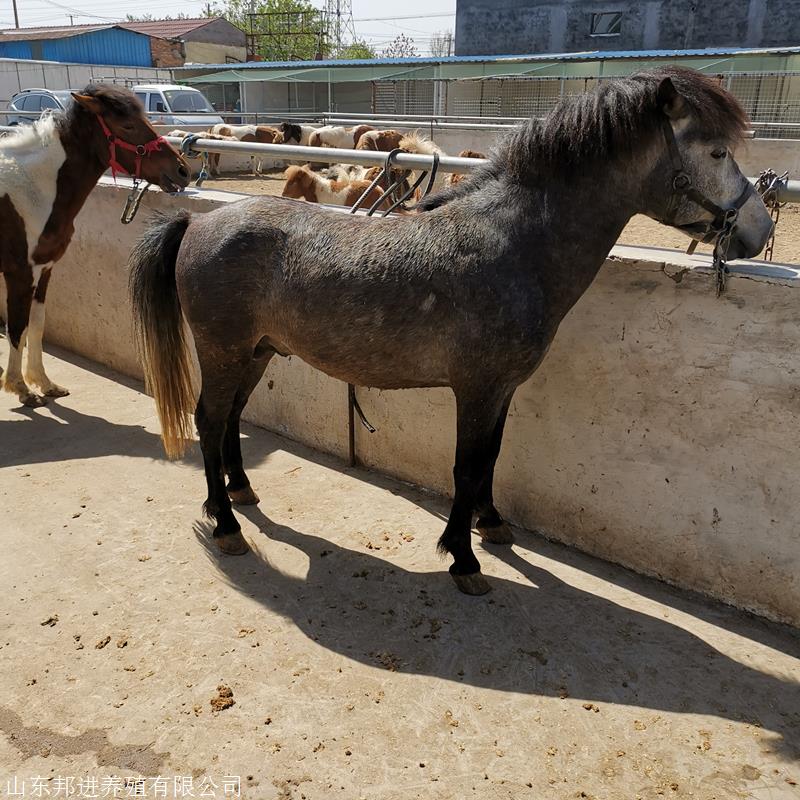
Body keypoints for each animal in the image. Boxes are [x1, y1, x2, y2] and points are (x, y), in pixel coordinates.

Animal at [0, 84, 190, 406]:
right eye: (127, 125)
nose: (182, 171)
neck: (35, 189)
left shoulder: (45, 270)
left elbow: (37, 325)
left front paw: (44, 383)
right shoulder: (20, 274)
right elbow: (17, 328)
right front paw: (21, 388)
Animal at [128, 69, 772, 592]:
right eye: (716, 151)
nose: (760, 230)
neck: (514, 244)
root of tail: (197, 224)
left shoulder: (503, 389)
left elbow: (490, 458)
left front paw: (492, 524)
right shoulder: (476, 389)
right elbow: (465, 466)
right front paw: (463, 558)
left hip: (255, 352)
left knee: (231, 418)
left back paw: (241, 492)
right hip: (223, 350)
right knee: (209, 420)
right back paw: (226, 524)